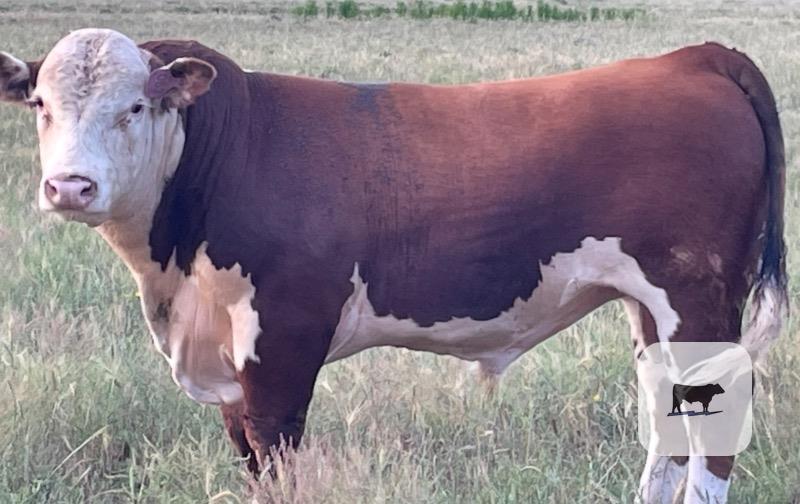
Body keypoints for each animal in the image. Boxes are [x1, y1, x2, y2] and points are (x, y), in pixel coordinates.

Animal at [0, 28, 787, 503]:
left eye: (135, 106)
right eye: (39, 103)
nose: (69, 187)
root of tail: (693, 55)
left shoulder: (284, 336)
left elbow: (275, 450)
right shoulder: (224, 349)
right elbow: (247, 454)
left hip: (698, 298)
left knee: (712, 432)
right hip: (651, 310)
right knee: (667, 418)